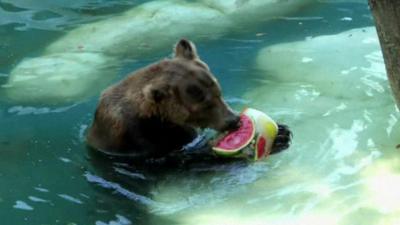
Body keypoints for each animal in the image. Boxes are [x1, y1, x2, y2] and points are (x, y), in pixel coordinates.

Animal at [87, 39, 292, 160]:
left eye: (219, 93)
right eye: (205, 105)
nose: (234, 120)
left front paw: (283, 131)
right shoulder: (138, 139)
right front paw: (279, 137)